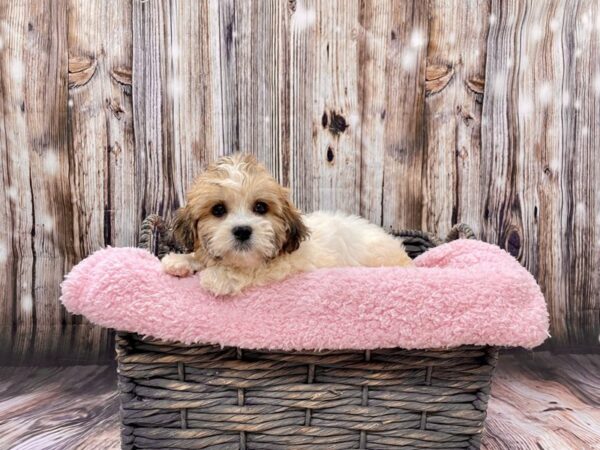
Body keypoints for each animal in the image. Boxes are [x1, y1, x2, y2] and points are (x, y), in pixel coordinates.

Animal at [161, 153, 412, 298]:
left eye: (260, 207)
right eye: (218, 210)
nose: (242, 230)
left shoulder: (289, 266)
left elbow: (256, 269)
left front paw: (219, 276)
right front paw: (181, 260)